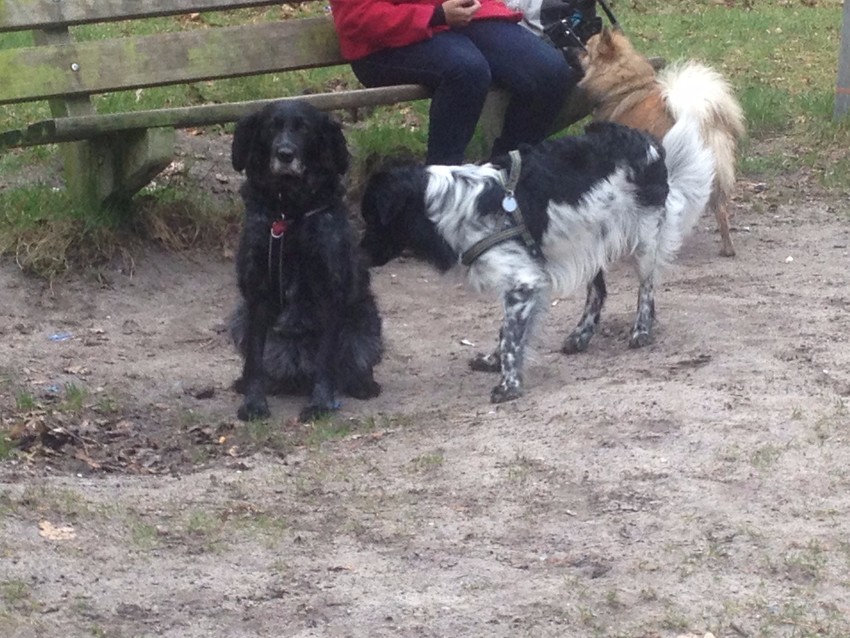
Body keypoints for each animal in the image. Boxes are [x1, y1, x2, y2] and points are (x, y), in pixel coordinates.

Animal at [229, 100, 383, 422]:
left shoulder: (330, 292)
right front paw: (254, 403)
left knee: (352, 361)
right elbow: (254, 360)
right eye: (271, 127)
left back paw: (363, 384)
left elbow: (326, 361)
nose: (285, 154)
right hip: (238, 316)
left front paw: (320, 404)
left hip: (366, 317)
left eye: (305, 128)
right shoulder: (257, 293)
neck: (288, 212)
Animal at [360, 120, 714, 403]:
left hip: (641, 238)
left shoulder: (522, 281)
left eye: (372, 219)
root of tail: (648, 141)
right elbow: (507, 332)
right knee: (598, 291)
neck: (447, 202)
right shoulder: (526, 277)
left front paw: (508, 385)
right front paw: (494, 362)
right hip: (588, 241)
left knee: (647, 286)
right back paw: (581, 335)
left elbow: (511, 337)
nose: (360, 255)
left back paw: (641, 329)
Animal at [579, 27, 745, 256]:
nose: (576, 52)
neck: (625, 85)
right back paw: (727, 248)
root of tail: (695, 119)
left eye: (587, 50)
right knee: (720, 209)